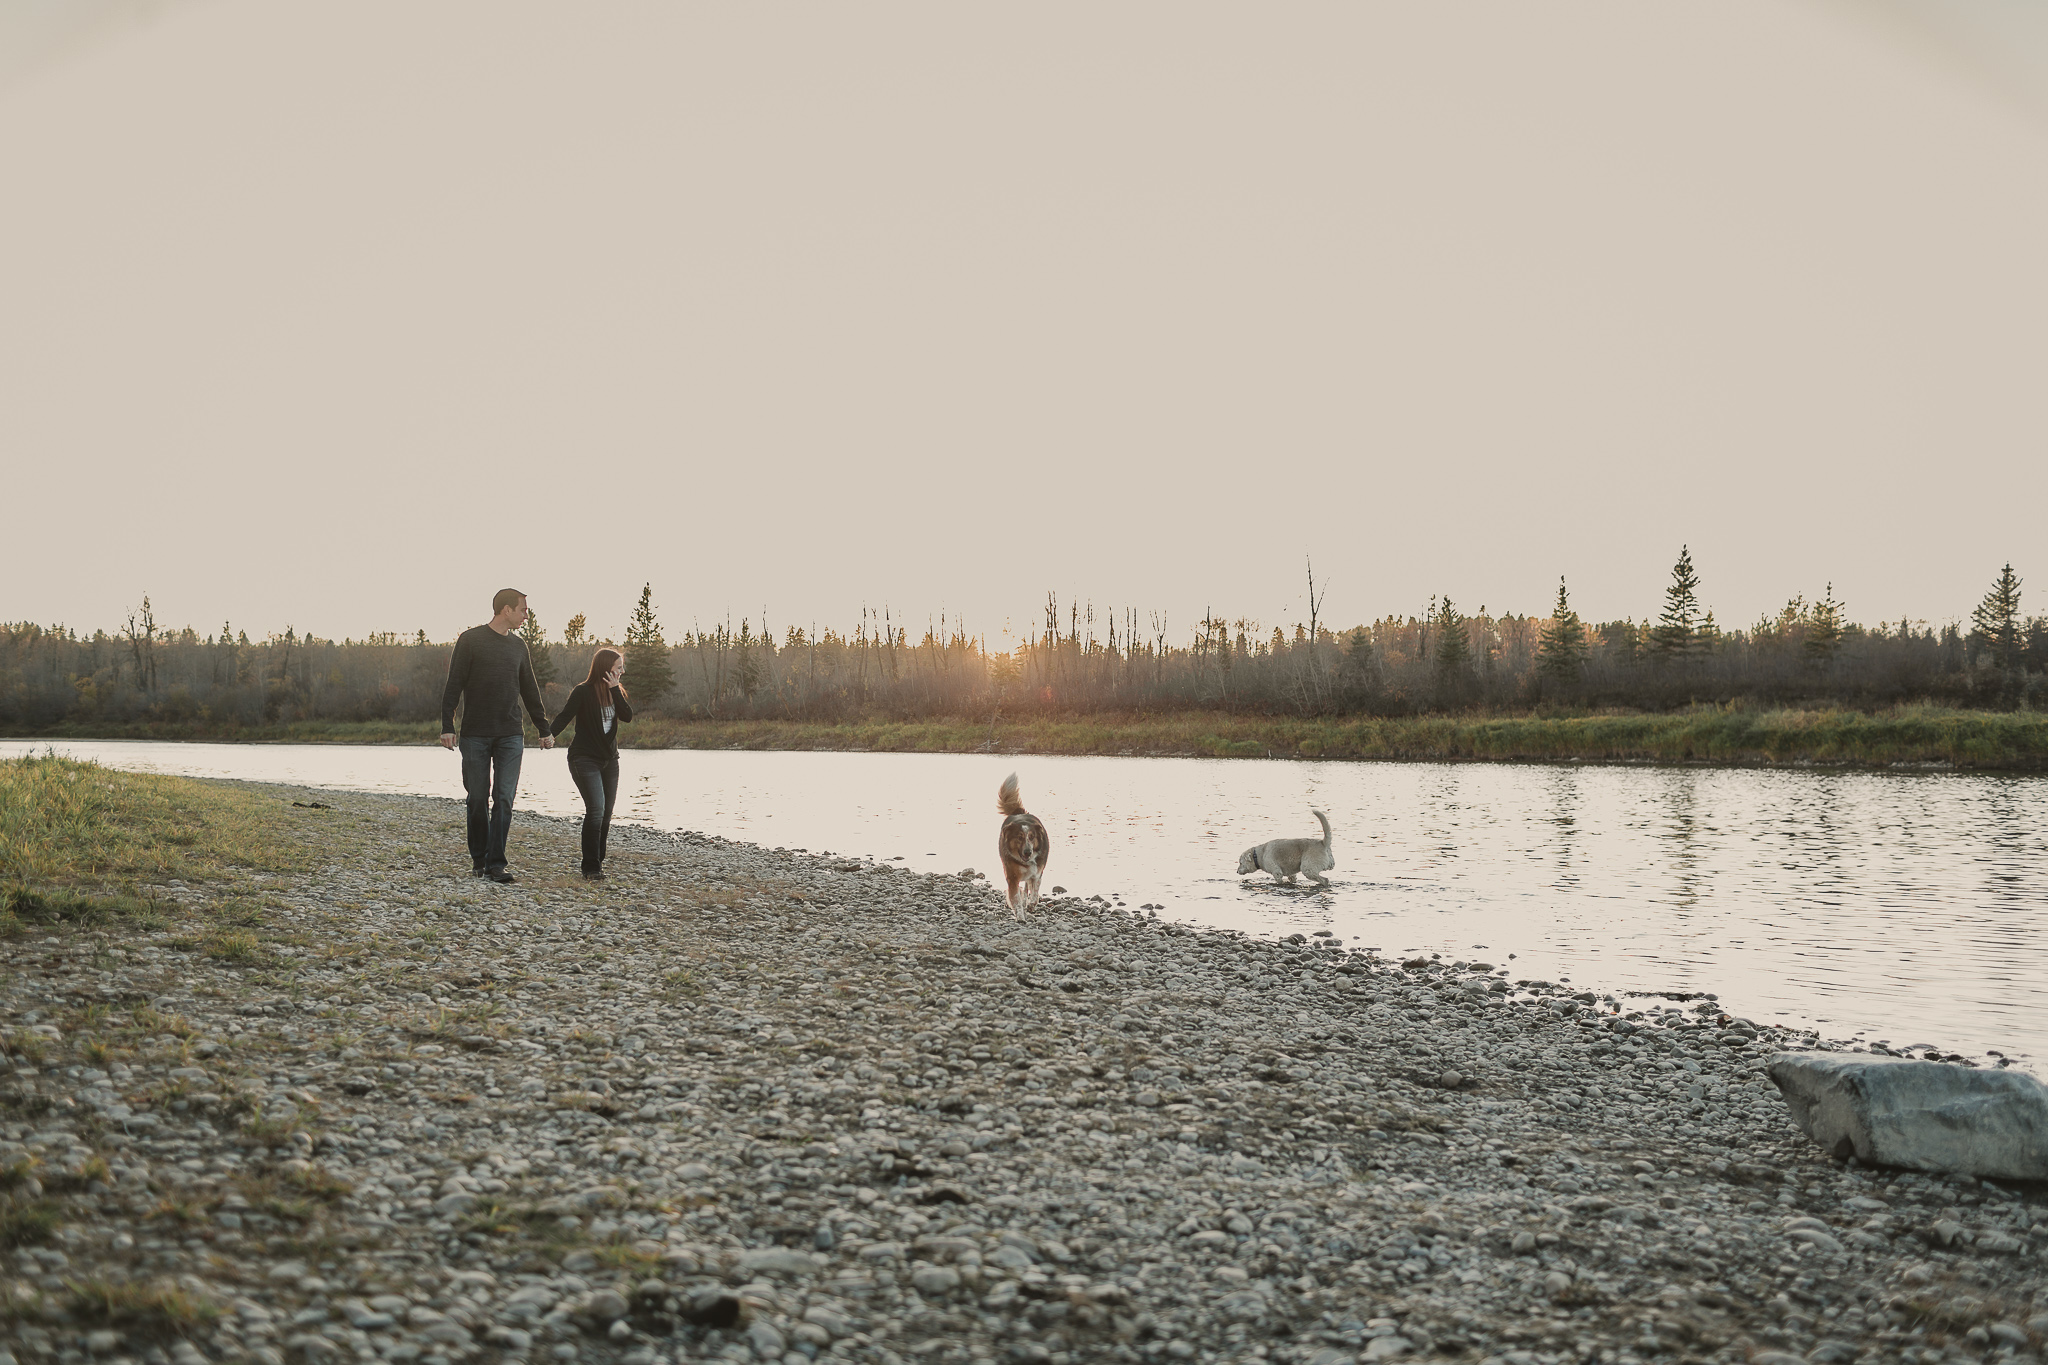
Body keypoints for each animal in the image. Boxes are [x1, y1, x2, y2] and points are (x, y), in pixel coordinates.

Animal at [995, 773, 1048, 912]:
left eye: (1031, 837)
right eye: (1019, 837)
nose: (1028, 852)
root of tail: (1019, 813)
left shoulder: (1036, 872)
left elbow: (1035, 889)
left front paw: (1032, 903)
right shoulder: (1012, 876)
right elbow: (1016, 899)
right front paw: (1019, 911)